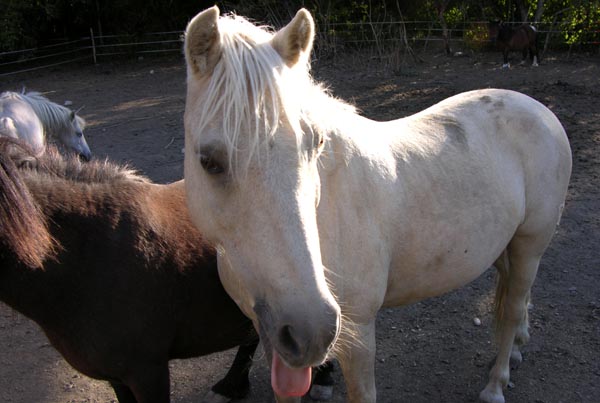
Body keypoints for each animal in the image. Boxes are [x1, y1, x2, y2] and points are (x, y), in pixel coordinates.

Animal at [182, 7, 572, 403]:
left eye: (315, 144)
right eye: (209, 161)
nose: (313, 329)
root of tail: (540, 110)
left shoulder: (357, 336)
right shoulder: (273, 333)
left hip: (530, 245)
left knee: (512, 308)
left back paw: (496, 383)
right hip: (504, 246)